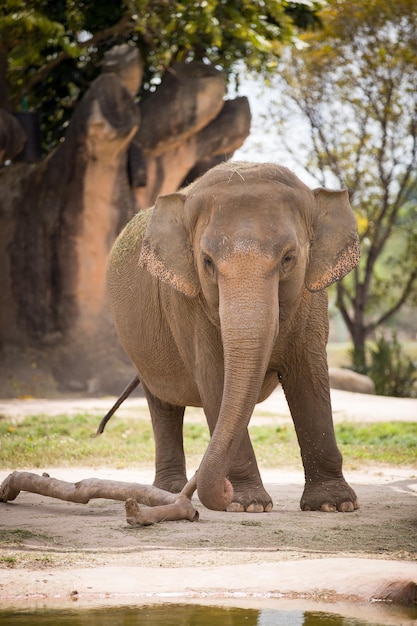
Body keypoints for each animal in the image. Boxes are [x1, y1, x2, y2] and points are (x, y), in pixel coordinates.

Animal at [107, 161, 360, 512]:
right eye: (207, 262)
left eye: (289, 258)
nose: (222, 489)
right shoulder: (186, 304)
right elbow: (215, 378)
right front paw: (247, 505)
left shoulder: (312, 297)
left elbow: (309, 376)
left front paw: (334, 506)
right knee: (164, 404)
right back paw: (169, 492)